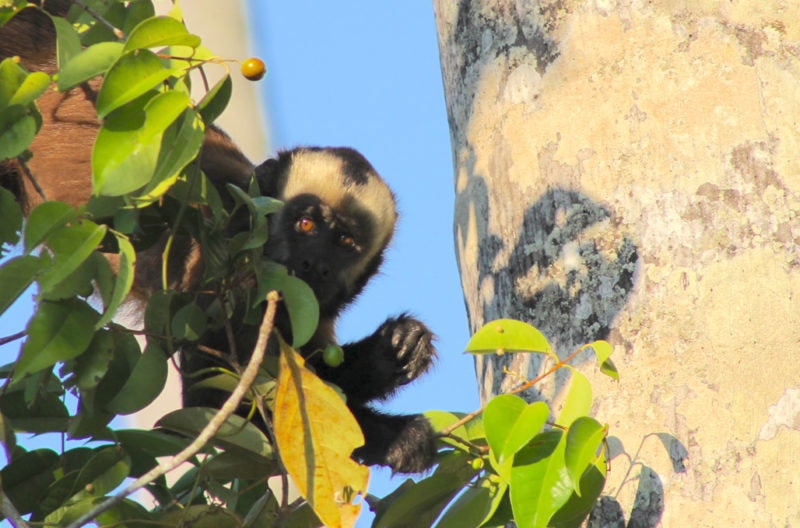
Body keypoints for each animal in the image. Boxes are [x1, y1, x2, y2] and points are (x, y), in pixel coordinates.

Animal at [0, 1, 438, 474]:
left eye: (344, 244)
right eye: (305, 225)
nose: (313, 265)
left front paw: (394, 350)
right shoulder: (227, 269)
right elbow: (214, 407)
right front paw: (396, 435)